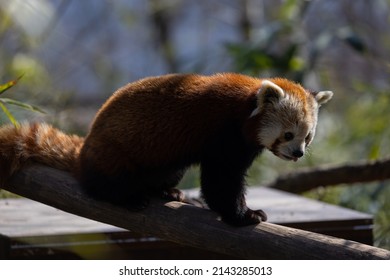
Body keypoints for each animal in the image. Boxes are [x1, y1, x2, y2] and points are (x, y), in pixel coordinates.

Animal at [0, 73, 336, 226]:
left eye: (307, 138)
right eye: (288, 134)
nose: (298, 154)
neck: (244, 108)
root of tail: (84, 152)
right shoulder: (222, 135)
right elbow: (221, 181)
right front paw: (244, 214)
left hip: (168, 164)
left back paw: (166, 191)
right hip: (112, 152)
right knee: (106, 180)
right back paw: (126, 196)